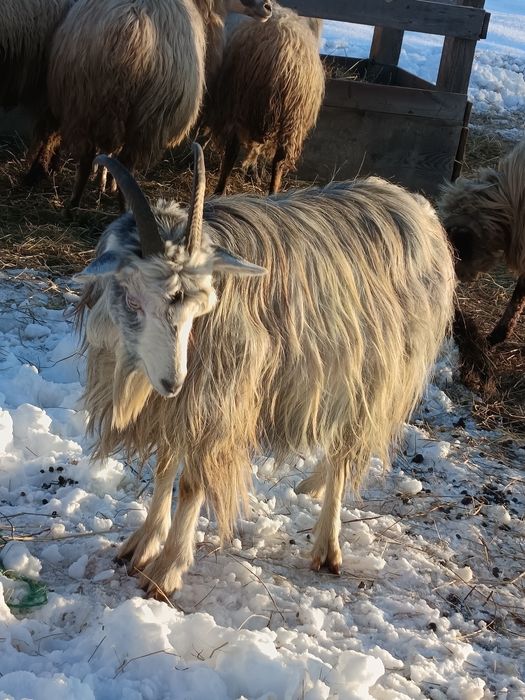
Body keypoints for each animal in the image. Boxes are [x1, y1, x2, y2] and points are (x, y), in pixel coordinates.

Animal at [38, 0, 271, 208]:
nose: (268, 7)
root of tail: (130, 33)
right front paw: (108, 183)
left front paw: (104, 182)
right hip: (150, 115)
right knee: (127, 162)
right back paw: (124, 206)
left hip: (84, 102)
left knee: (87, 157)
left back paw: (73, 206)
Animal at [76, 144, 455, 600]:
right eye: (133, 300)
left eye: (201, 307)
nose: (172, 381)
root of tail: (417, 206)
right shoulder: (178, 406)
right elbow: (164, 468)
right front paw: (142, 544)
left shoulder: (216, 401)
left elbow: (191, 483)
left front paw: (166, 572)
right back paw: (312, 487)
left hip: (374, 372)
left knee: (346, 451)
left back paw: (327, 547)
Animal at [207, 3, 325, 195]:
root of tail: (282, 53)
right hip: (292, 118)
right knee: (279, 160)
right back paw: (273, 193)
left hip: (242, 102)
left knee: (232, 151)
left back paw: (220, 190)